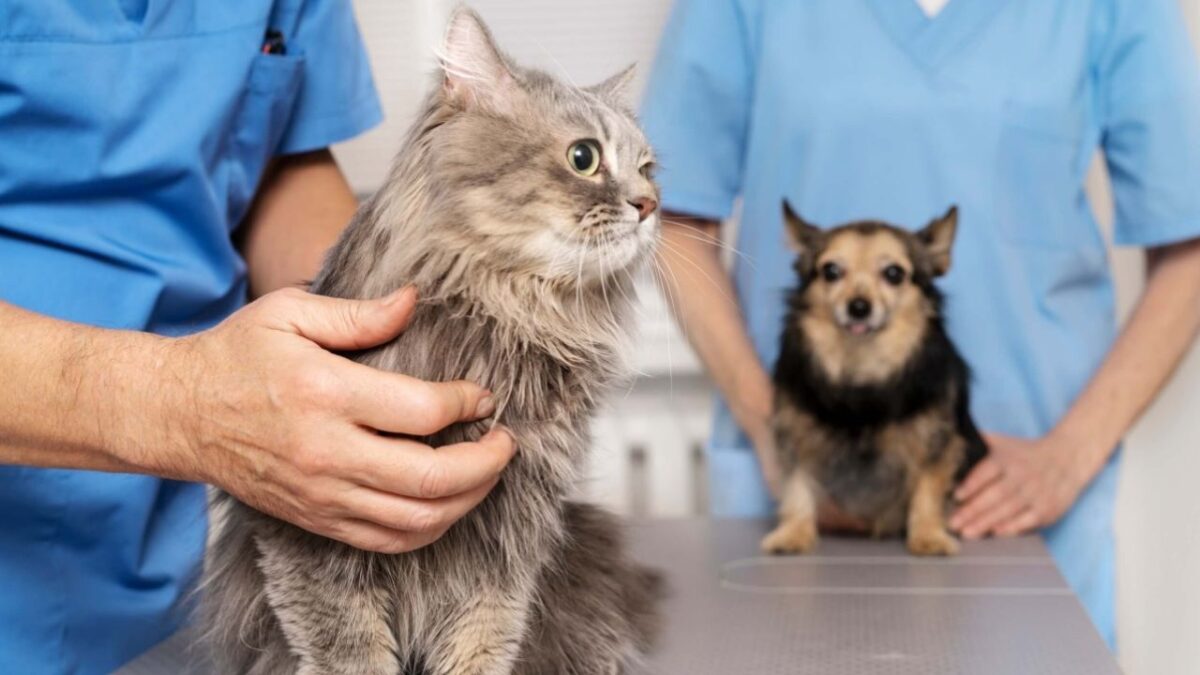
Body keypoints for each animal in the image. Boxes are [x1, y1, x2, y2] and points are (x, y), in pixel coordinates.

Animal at [199, 6, 667, 672]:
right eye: (584, 157)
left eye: (649, 169)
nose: (649, 205)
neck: (509, 318)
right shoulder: (310, 541)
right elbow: (351, 653)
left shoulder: (506, 549)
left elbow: (482, 645)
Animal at [758, 201, 984, 554]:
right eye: (831, 271)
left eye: (894, 274)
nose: (859, 307)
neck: (862, 369)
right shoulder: (795, 434)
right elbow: (797, 484)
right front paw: (793, 533)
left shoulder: (937, 442)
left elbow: (928, 489)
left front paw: (928, 536)